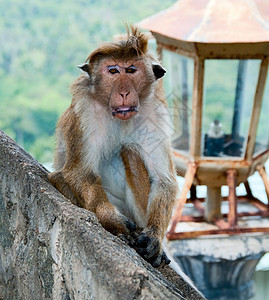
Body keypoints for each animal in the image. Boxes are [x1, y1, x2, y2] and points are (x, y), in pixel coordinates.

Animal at [48, 24, 178, 266]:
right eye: (113, 71)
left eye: (131, 70)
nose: (124, 92)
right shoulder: (85, 111)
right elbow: (80, 173)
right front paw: (114, 221)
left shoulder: (156, 114)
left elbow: (164, 180)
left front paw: (154, 238)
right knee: (59, 176)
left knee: (130, 150)